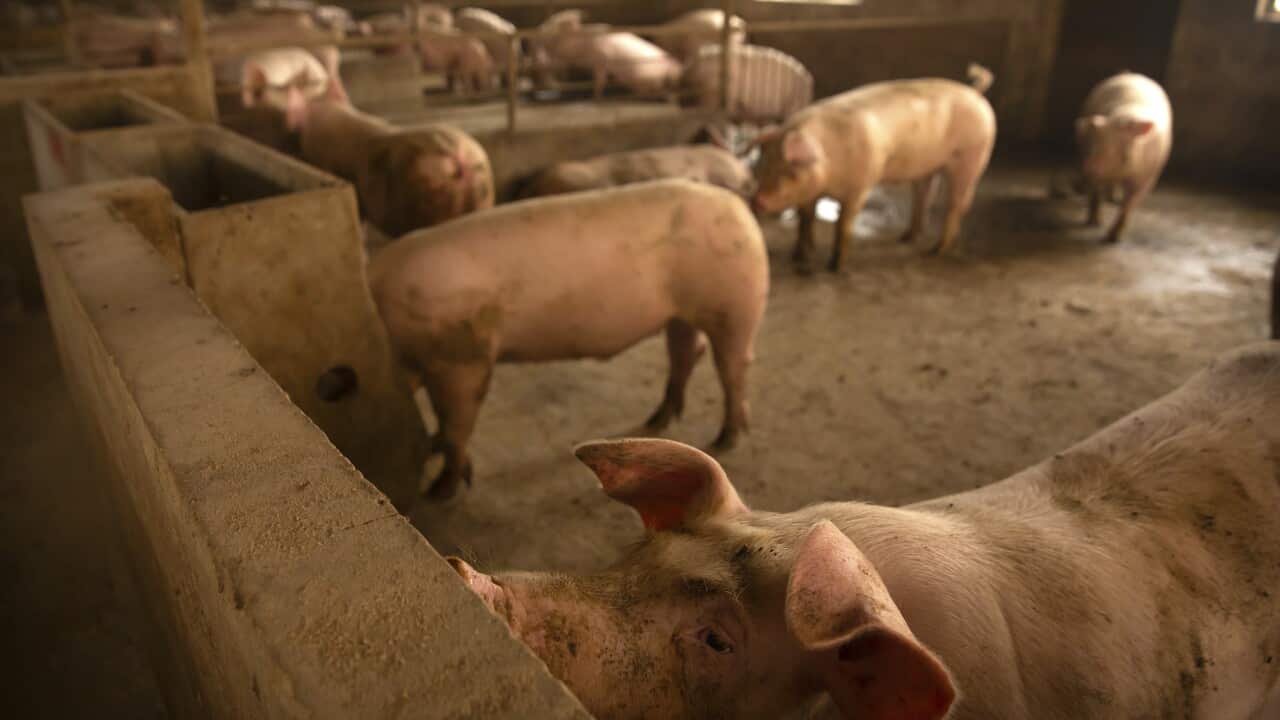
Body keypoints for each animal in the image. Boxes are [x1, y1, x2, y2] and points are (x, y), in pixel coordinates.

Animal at [368, 180, 769, 499]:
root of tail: (738, 208)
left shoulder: (462, 358)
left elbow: (457, 426)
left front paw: (439, 492)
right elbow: (446, 426)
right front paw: (435, 454)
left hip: (733, 303)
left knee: (732, 364)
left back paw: (725, 439)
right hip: (681, 313)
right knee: (686, 352)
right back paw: (657, 421)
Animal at [753, 64, 997, 271]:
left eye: (790, 168)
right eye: (764, 163)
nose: (758, 200)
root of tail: (975, 92)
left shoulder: (861, 184)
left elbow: (843, 225)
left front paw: (835, 267)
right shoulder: (810, 193)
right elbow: (805, 220)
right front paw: (799, 256)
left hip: (973, 156)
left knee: (957, 204)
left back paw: (936, 251)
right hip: (929, 167)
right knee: (923, 196)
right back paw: (906, 237)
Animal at [1075, 72, 1173, 244]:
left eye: (1122, 142)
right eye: (1091, 147)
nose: (1077, 186)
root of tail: (1129, 74)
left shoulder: (1148, 177)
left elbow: (1129, 204)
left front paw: (1113, 238)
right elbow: (1096, 194)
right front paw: (1094, 223)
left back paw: (1113, 200)